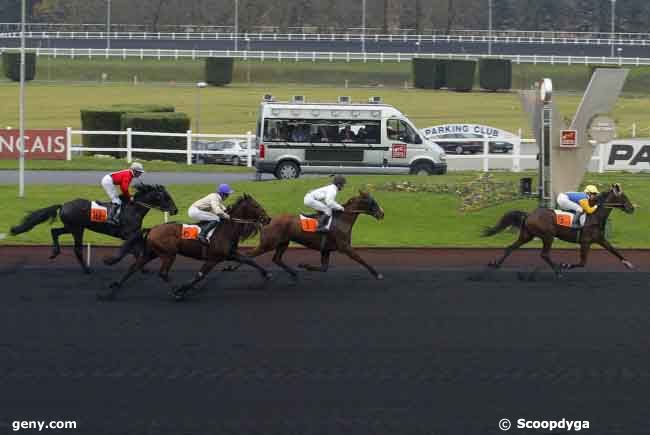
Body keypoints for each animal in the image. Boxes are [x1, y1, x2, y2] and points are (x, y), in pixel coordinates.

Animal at [10, 183, 177, 272]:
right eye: (166, 197)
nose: (175, 210)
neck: (133, 209)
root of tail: (63, 205)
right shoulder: (128, 234)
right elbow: (134, 250)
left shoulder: (133, 235)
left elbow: (137, 249)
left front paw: (143, 267)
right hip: (77, 229)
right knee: (77, 249)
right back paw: (86, 269)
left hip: (71, 227)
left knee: (54, 231)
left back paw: (55, 252)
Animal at [100, 195, 272, 304]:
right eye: (256, 205)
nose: (268, 219)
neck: (226, 229)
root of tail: (152, 228)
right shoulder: (213, 259)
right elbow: (199, 276)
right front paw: (183, 288)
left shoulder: (230, 254)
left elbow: (248, 259)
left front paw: (267, 274)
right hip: (168, 254)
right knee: (162, 273)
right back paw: (176, 291)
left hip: (152, 253)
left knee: (134, 267)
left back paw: (112, 290)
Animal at [225, 192, 382, 282]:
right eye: (373, 202)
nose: (382, 213)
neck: (341, 219)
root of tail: (266, 220)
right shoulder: (345, 247)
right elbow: (360, 259)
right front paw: (376, 274)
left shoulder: (326, 249)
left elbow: (324, 268)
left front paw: (304, 265)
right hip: (268, 243)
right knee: (249, 254)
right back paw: (232, 267)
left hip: (283, 242)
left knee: (276, 259)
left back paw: (294, 273)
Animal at [484, 183, 632, 276]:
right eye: (623, 197)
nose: (632, 208)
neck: (595, 216)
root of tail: (529, 214)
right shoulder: (585, 242)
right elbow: (582, 263)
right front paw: (565, 265)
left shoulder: (600, 239)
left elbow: (614, 250)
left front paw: (628, 263)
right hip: (548, 236)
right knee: (544, 254)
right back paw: (557, 270)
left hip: (527, 235)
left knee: (510, 248)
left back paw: (495, 264)